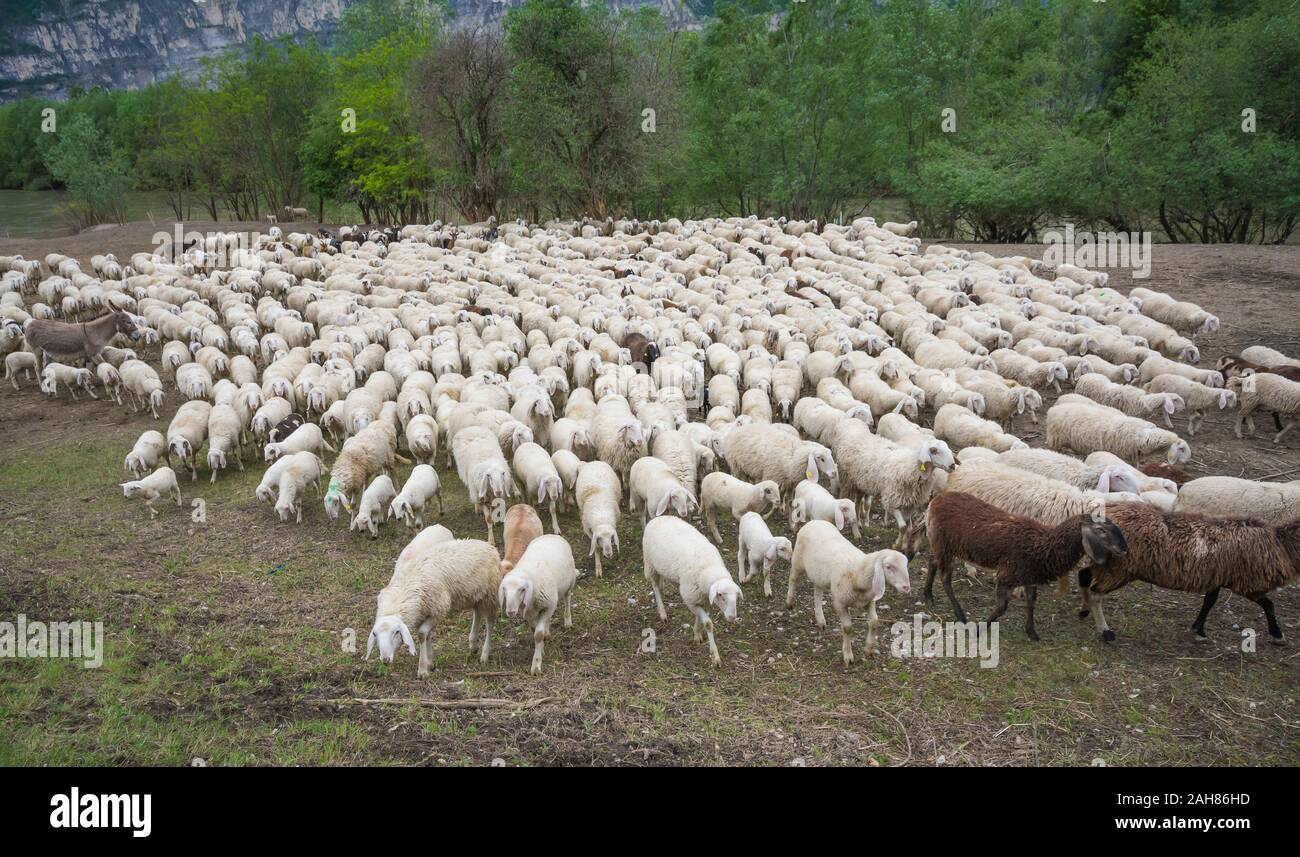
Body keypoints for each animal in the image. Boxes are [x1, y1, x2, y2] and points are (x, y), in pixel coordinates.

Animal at [366, 538, 504, 675]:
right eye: (375, 634)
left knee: (490, 622)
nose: (385, 660)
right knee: (478, 613)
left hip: (490, 593)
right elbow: (427, 635)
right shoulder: (423, 613)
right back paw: (473, 645)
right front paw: (430, 663)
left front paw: (422, 669)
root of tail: (488, 545)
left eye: (396, 632)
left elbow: (422, 634)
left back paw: (485, 654)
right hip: (476, 594)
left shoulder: (439, 609)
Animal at [498, 535, 577, 675]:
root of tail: (551, 535)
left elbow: (538, 635)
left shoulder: (548, 606)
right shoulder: (528, 612)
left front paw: (536, 665)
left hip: (570, 582)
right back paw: (548, 632)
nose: (511, 611)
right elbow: (534, 630)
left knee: (567, 598)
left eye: (522, 589)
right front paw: (542, 647)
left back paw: (567, 621)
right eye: (504, 589)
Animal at [642, 515, 743, 668]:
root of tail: (658, 517)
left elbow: (699, 618)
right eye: (720, 595)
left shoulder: (703, 598)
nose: (732, 617)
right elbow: (708, 623)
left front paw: (697, 634)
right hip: (650, 564)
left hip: (661, 567)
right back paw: (662, 612)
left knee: (660, 583)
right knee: (655, 587)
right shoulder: (690, 599)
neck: (708, 567)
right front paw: (715, 656)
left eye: (736, 597)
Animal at [785, 520, 910, 665]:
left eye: (906, 565)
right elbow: (848, 628)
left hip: (819, 575)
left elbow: (874, 622)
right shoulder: (840, 603)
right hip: (797, 561)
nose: (906, 587)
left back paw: (820, 620)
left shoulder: (869, 601)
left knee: (817, 592)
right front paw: (848, 655)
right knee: (792, 579)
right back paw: (789, 602)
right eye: (889, 567)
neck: (858, 572)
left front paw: (868, 649)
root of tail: (814, 521)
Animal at [1080, 502, 1298, 645]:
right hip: (1119, 568)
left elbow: (1209, 601)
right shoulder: (1247, 584)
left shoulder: (1217, 577)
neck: (1282, 543)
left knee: (1083, 576)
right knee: (1096, 593)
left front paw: (1198, 629)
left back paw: (1084, 611)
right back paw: (1105, 631)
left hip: (1104, 563)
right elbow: (1269, 605)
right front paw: (1278, 635)